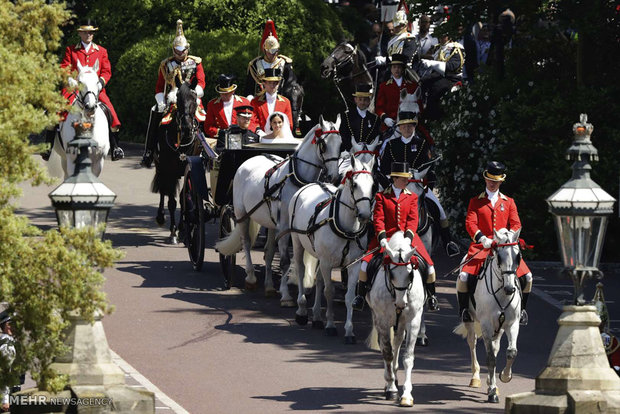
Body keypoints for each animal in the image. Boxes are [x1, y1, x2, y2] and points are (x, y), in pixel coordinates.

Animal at [151, 80, 197, 243]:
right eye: (178, 99)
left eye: (194, 100)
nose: (187, 128)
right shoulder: (169, 169)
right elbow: (171, 201)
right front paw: (172, 232)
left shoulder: (188, 170)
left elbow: (184, 199)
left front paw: (182, 229)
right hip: (161, 167)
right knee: (163, 189)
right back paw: (160, 217)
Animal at [216, 115, 342, 302]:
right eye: (323, 144)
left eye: (341, 144)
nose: (334, 176)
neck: (296, 178)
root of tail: (251, 159)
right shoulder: (284, 226)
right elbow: (284, 261)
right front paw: (286, 296)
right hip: (242, 214)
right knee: (246, 242)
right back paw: (251, 277)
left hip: (269, 222)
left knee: (268, 252)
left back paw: (268, 286)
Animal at [288, 151, 376, 342]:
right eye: (355, 184)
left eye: (373, 186)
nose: (365, 215)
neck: (345, 227)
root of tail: (313, 183)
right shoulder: (328, 263)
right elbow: (329, 291)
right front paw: (330, 325)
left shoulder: (353, 264)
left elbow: (349, 296)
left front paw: (349, 331)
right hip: (297, 242)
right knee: (301, 270)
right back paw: (302, 311)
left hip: (320, 256)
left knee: (319, 279)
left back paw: (316, 317)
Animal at [368, 231, 426, 406]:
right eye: (391, 274)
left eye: (410, 273)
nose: (401, 303)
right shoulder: (382, 320)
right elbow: (387, 353)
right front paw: (392, 389)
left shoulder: (413, 320)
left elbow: (408, 357)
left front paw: (406, 394)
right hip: (379, 319)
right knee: (385, 346)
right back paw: (390, 381)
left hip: (400, 322)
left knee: (398, 341)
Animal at [452, 228, 520, 402]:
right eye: (499, 256)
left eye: (518, 256)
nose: (510, 289)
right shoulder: (487, 325)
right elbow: (490, 358)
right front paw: (492, 392)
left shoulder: (512, 324)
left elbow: (511, 352)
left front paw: (504, 377)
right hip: (471, 319)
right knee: (473, 342)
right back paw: (476, 377)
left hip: (499, 328)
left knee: (496, 348)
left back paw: (491, 381)